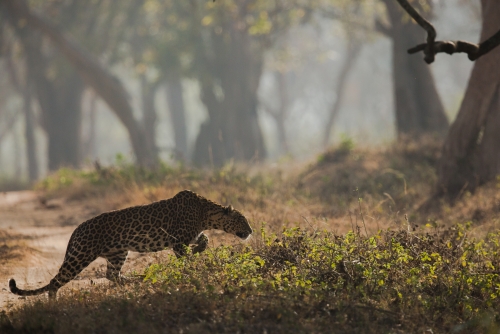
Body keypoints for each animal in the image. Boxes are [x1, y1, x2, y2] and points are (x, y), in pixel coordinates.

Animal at [10, 189, 254, 298]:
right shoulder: (178, 241)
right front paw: (191, 267)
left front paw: (200, 248)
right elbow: (185, 258)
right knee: (55, 281)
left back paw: (135, 280)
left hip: (118, 253)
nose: (251, 231)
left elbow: (205, 239)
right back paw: (53, 300)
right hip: (81, 255)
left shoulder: (189, 236)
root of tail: (77, 229)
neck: (206, 213)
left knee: (112, 274)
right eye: (243, 220)